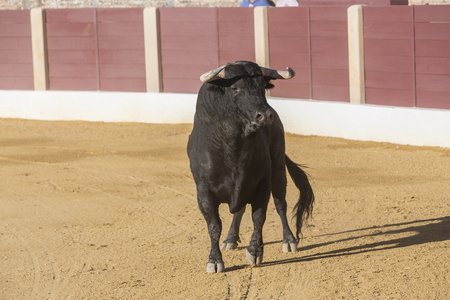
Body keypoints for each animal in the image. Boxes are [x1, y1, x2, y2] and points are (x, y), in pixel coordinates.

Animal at [188, 60, 314, 272]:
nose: (265, 115)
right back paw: (230, 239)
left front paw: (255, 252)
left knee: (280, 204)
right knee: (239, 210)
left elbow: (259, 216)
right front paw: (215, 260)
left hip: (278, 169)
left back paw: (289, 240)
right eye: (235, 88)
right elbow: (214, 225)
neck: (234, 146)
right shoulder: (203, 190)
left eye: (262, 86)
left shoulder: (262, 182)